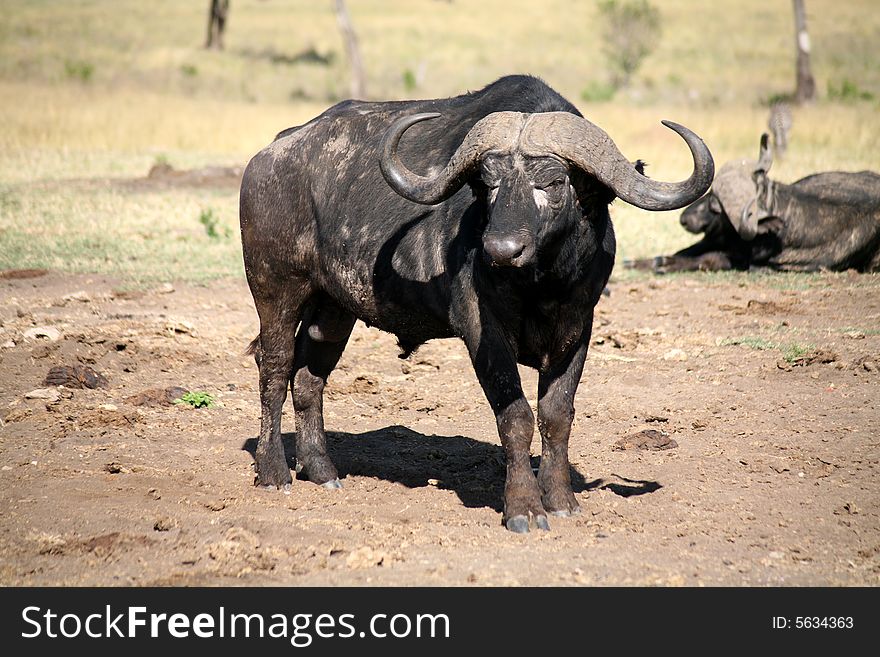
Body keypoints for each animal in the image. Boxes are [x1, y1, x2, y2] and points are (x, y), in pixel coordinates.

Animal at [241, 74, 716, 532]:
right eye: (489, 184)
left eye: (553, 182)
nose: (501, 249)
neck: (542, 285)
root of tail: (267, 156)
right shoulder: (481, 330)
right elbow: (517, 416)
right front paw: (525, 507)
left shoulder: (579, 327)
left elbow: (556, 415)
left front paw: (561, 500)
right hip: (275, 288)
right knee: (275, 368)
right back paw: (274, 472)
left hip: (334, 308)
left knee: (309, 376)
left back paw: (321, 470)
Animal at [624, 135, 880, 272]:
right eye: (710, 193)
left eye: (716, 206)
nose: (685, 219)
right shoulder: (712, 240)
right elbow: (682, 252)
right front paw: (641, 262)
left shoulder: (734, 258)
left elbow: (706, 259)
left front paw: (665, 264)